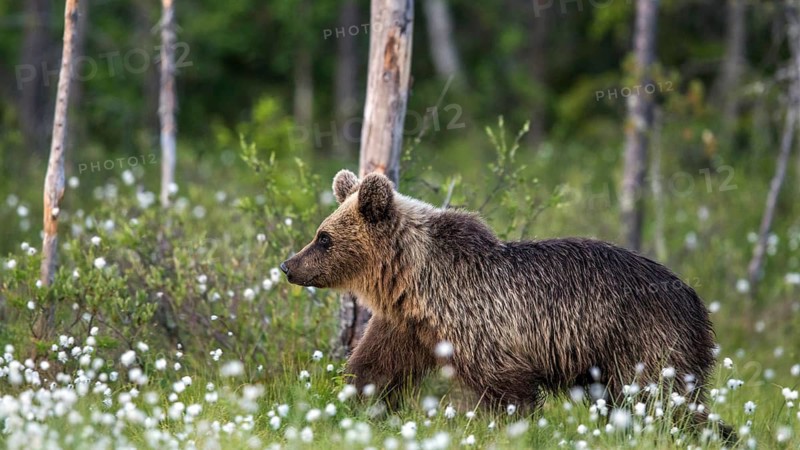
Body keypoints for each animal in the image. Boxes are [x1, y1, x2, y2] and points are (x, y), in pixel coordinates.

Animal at [281, 169, 735, 442]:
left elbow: (507, 391)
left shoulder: (484, 323)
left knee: (665, 400)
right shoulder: (408, 327)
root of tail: (696, 300)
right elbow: (373, 368)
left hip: (642, 338)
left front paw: (516, 429)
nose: (288, 265)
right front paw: (352, 408)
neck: (414, 282)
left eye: (324, 237)